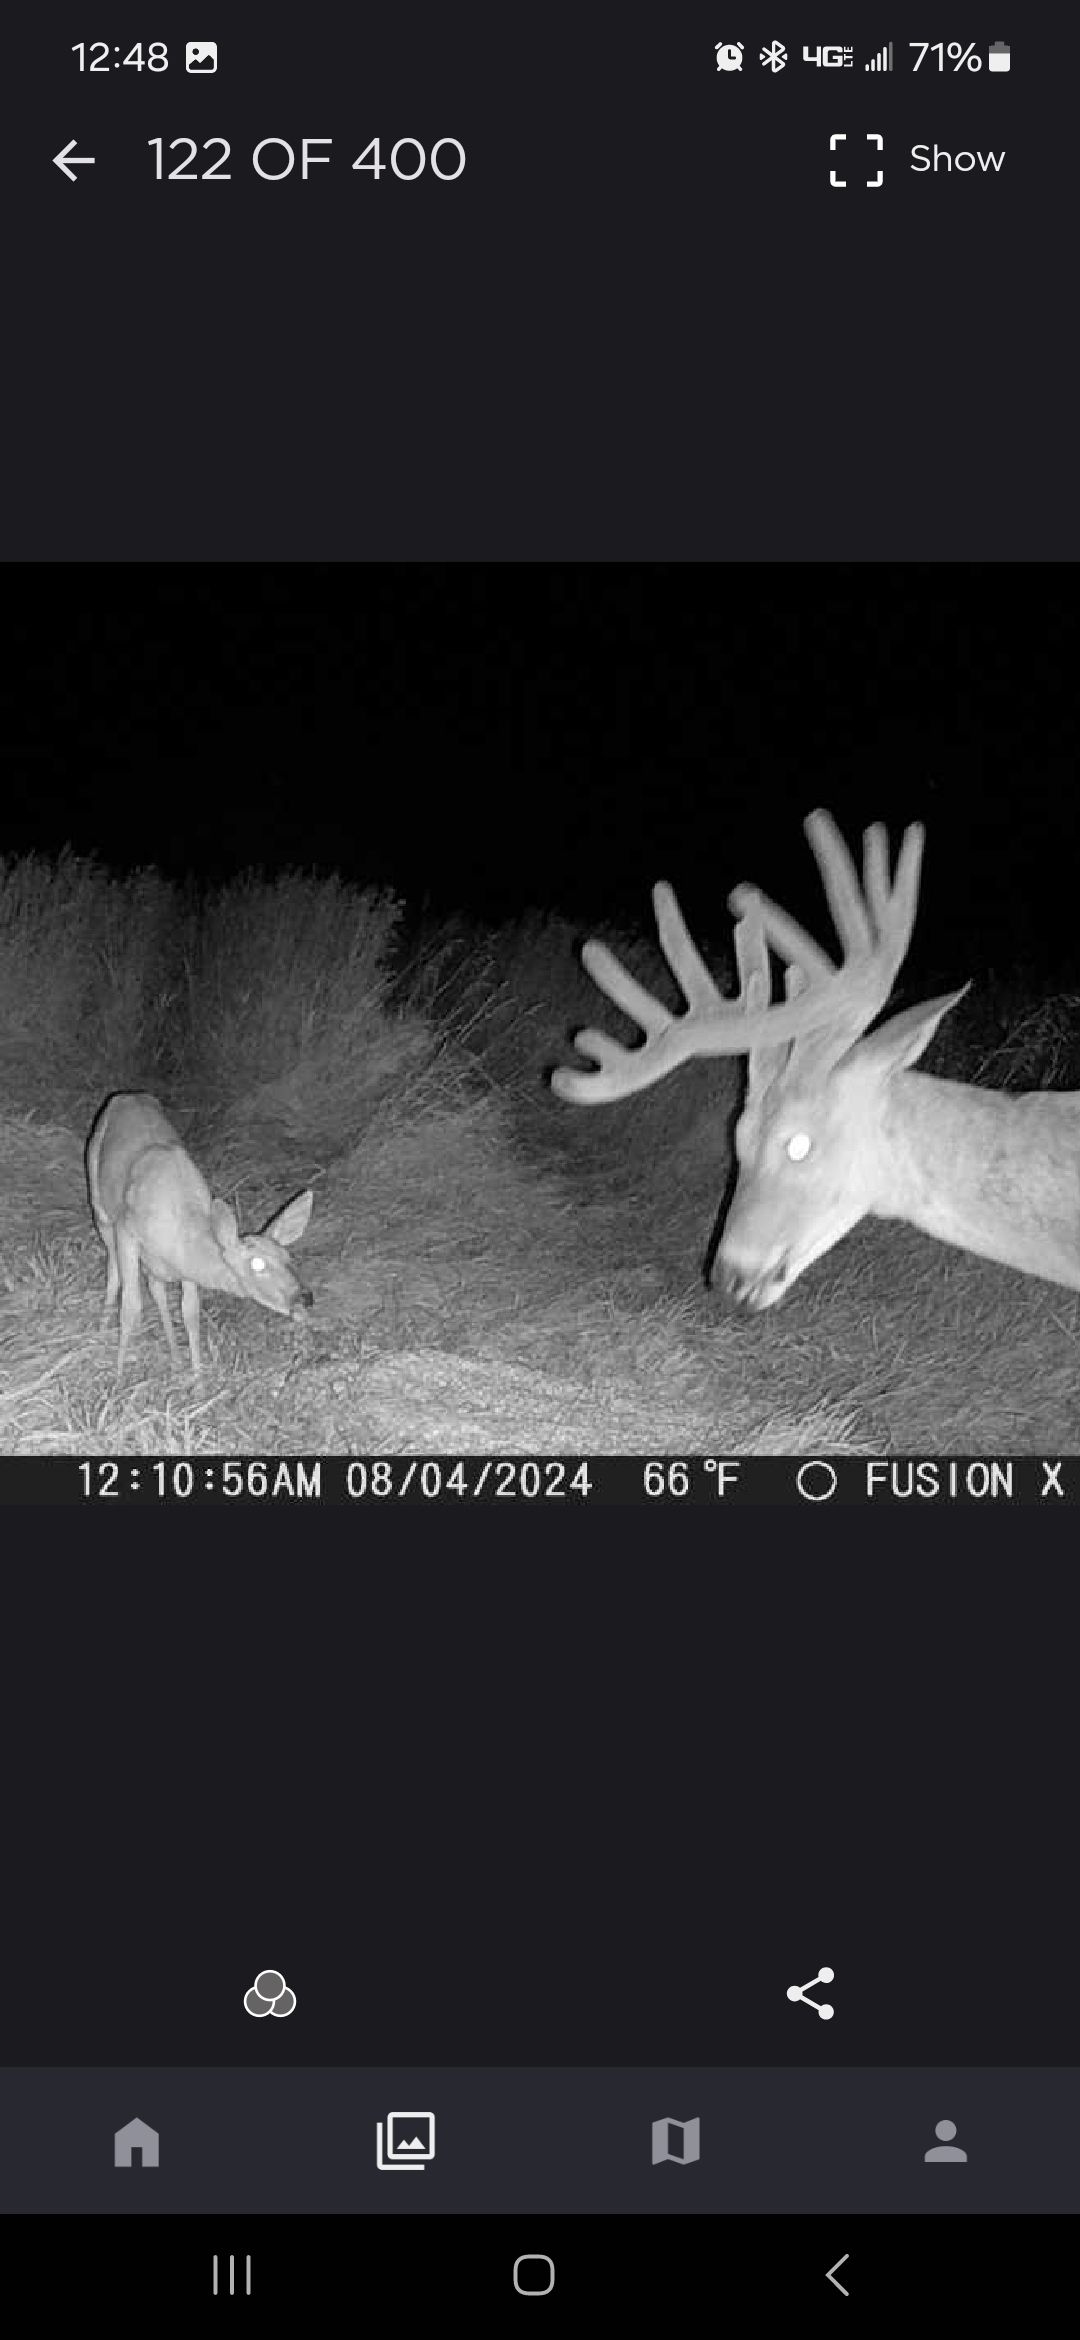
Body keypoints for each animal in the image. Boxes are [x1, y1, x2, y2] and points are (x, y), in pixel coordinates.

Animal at [86, 1092, 314, 1377]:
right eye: (257, 1264)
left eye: (288, 1256)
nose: (305, 1297)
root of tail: (127, 1094)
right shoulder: (126, 1230)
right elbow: (130, 1305)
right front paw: (118, 1376)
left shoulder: (183, 1267)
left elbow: (190, 1313)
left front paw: (197, 1377)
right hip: (100, 1205)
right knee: (114, 1271)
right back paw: (102, 1330)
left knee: (156, 1287)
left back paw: (174, 1356)